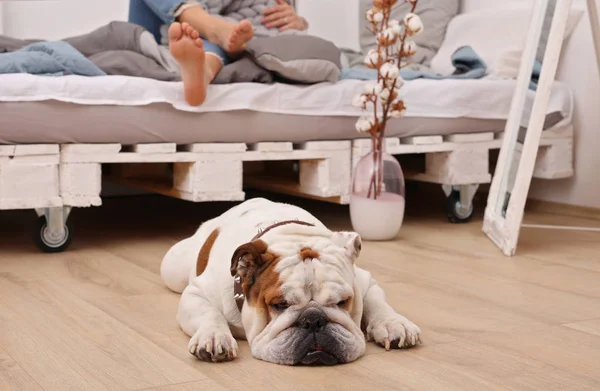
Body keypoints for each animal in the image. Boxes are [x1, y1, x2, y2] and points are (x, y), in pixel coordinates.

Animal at [162, 199, 420, 368]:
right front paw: (214, 337)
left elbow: (377, 303)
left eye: (342, 302)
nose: (314, 320)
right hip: (172, 270)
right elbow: (209, 313)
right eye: (280, 305)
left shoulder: (365, 281)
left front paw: (394, 324)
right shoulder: (197, 293)